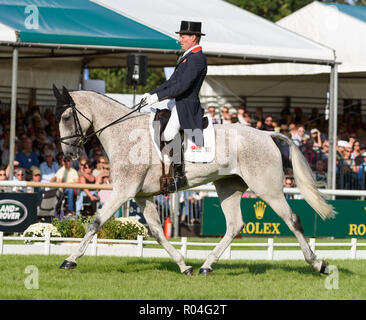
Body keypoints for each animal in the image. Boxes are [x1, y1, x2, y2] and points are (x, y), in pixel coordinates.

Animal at [53, 87, 334, 276]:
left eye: (66, 117)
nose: (67, 155)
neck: (124, 132)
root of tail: (266, 134)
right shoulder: (142, 196)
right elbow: (157, 232)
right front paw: (183, 264)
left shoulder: (124, 190)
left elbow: (96, 222)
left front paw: (70, 260)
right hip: (228, 187)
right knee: (234, 225)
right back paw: (206, 266)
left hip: (268, 189)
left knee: (292, 219)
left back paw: (318, 264)